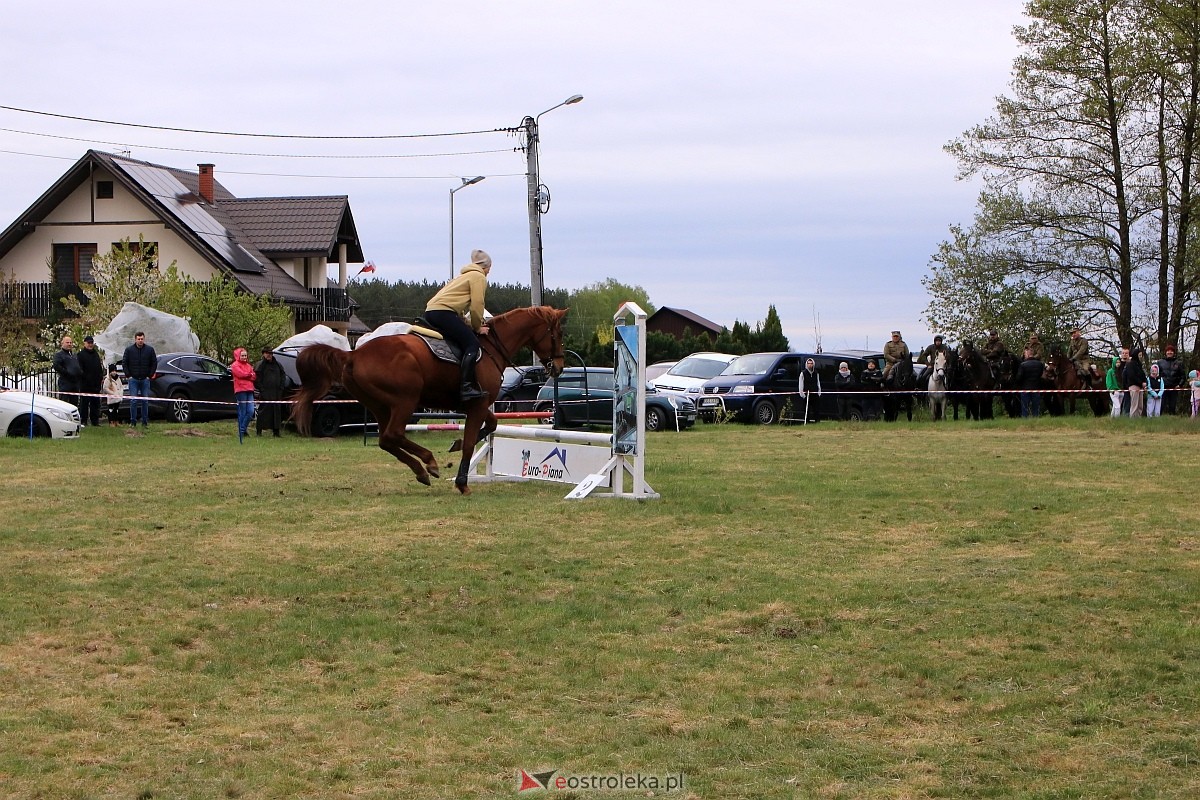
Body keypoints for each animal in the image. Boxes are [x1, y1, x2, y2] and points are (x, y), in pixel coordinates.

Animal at [292, 307, 568, 494]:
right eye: (558, 333)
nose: (559, 367)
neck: (491, 348)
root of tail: (353, 355)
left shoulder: (479, 405)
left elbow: (491, 425)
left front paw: (455, 444)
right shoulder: (477, 405)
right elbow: (471, 442)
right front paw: (462, 483)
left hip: (379, 405)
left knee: (386, 440)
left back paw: (422, 470)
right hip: (405, 401)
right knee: (393, 435)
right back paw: (429, 462)